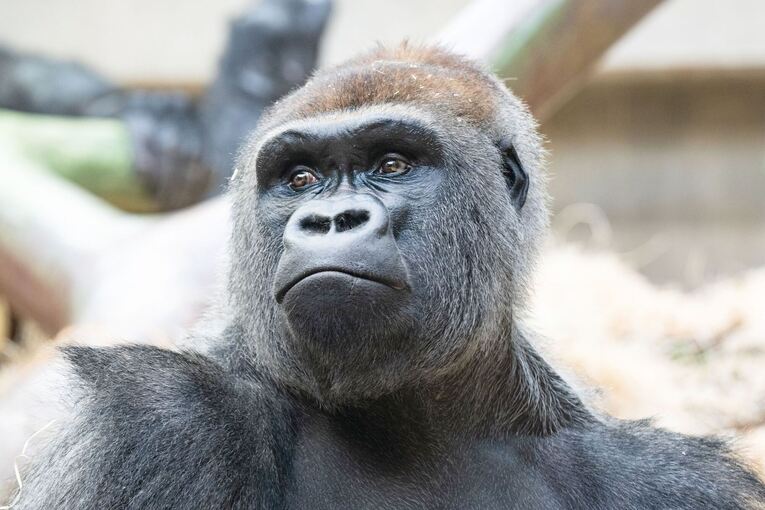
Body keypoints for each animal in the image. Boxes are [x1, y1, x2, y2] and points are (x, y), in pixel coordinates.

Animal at [9, 44, 765, 509]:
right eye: (300, 179)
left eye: (392, 164)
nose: (329, 219)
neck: (422, 417)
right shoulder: (158, 419)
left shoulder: (665, 480)